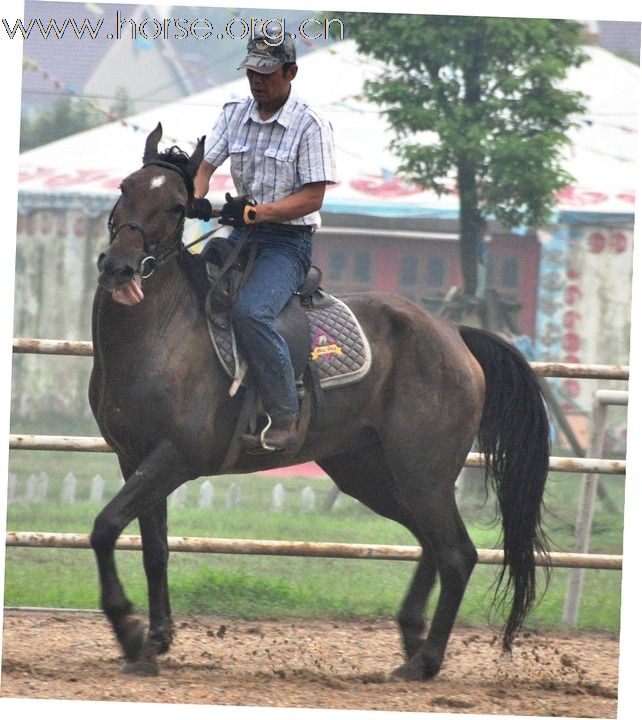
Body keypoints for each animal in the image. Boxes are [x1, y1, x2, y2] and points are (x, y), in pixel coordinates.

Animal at [89, 124, 552, 680]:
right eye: (125, 187)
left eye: (178, 206)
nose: (119, 268)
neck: (164, 332)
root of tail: (454, 332)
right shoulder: (133, 458)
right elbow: (154, 547)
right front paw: (155, 639)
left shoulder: (174, 458)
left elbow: (105, 527)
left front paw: (129, 630)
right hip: (369, 472)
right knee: (433, 544)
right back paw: (412, 637)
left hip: (423, 473)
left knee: (457, 553)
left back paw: (425, 661)